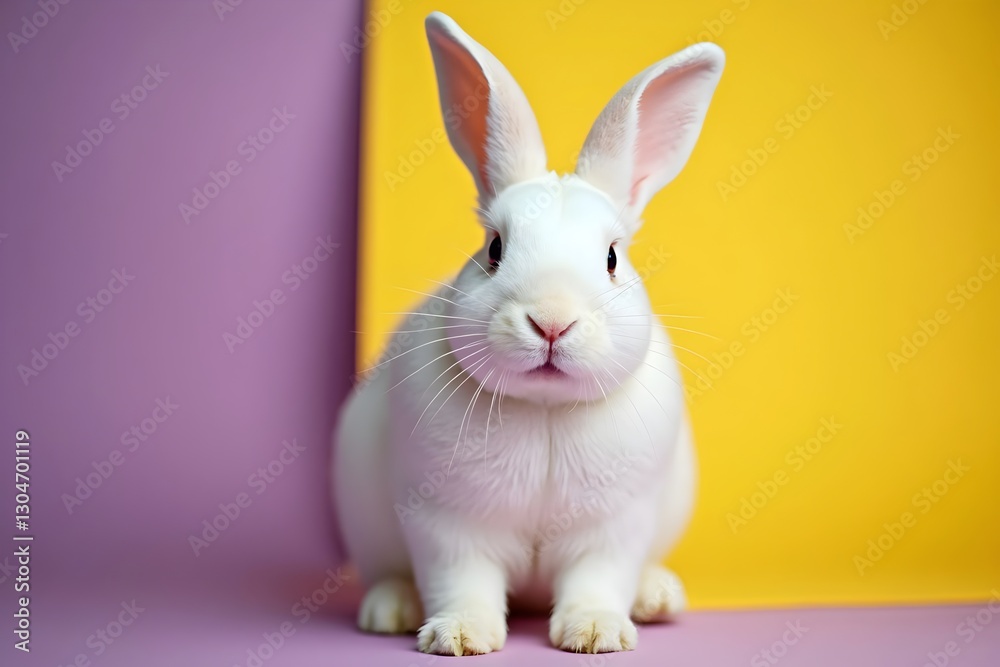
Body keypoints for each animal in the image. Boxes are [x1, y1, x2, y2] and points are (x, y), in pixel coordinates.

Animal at [332, 11, 724, 656]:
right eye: (494, 249)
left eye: (612, 257)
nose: (552, 321)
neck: (544, 409)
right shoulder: (447, 524)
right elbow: (461, 582)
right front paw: (460, 637)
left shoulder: (614, 529)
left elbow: (598, 580)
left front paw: (595, 633)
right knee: (390, 573)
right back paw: (388, 610)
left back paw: (657, 597)